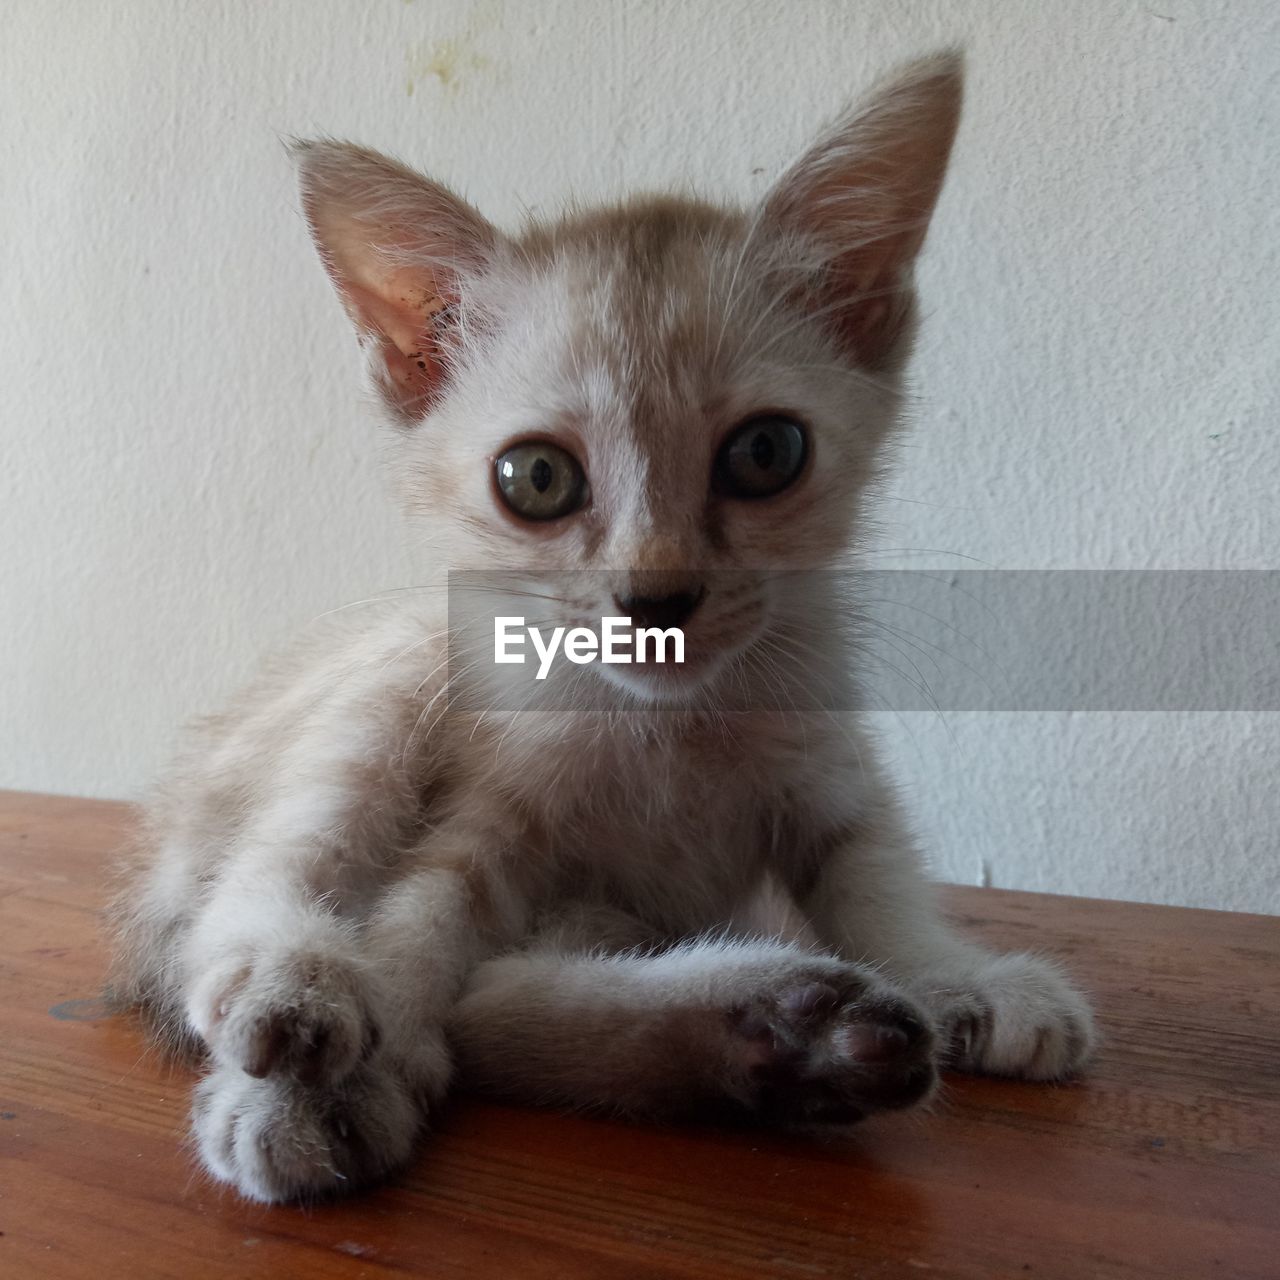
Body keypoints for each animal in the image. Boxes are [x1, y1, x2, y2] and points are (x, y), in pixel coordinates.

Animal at [110, 49, 1095, 1203]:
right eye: (535, 477)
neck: (669, 732)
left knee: (492, 1003)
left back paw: (785, 1035)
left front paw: (954, 976)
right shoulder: (487, 814)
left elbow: (875, 878)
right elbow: (419, 923)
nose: (656, 597)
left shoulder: (826, 766)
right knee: (283, 878)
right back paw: (290, 983)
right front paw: (338, 1067)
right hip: (400, 672)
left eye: (766, 452)